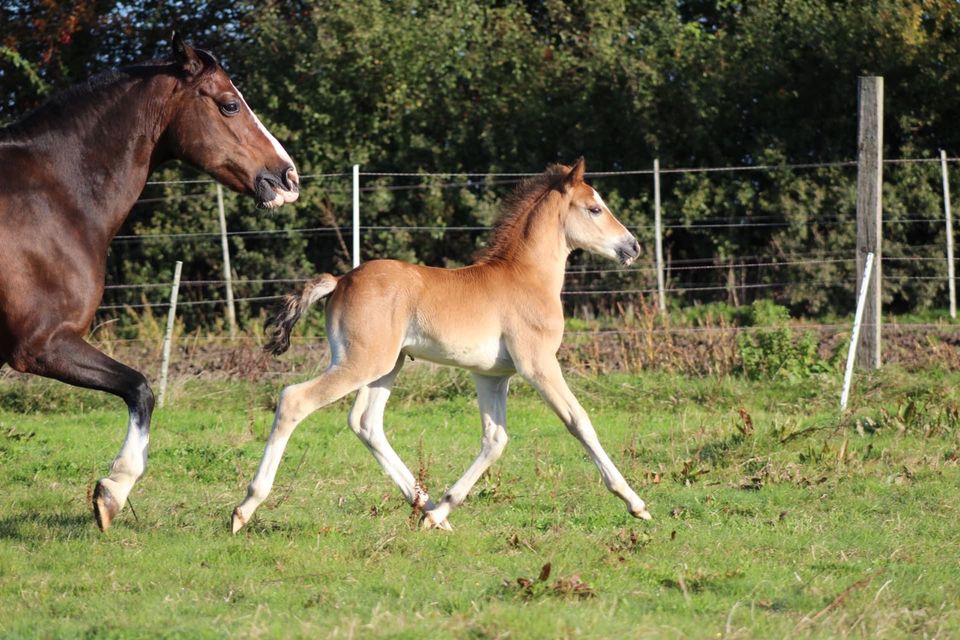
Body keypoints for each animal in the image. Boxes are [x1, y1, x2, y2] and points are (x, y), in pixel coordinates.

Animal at [0, 33, 300, 528]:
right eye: (230, 105)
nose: (287, 177)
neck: (54, 196)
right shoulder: (42, 345)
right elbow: (140, 388)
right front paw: (113, 491)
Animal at [232, 158, 652, 532]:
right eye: (595, 208)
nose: (633, 247)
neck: (526, 278)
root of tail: (341, 280)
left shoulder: (492, 376)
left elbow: (495, 439)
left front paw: (442, 510)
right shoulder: (538, 364)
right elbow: (579, 421)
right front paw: (635, 502)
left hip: (387, 366)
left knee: (366, 423)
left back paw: (426, 507)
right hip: (361, 362)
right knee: (294, 400)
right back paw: (244, 508)